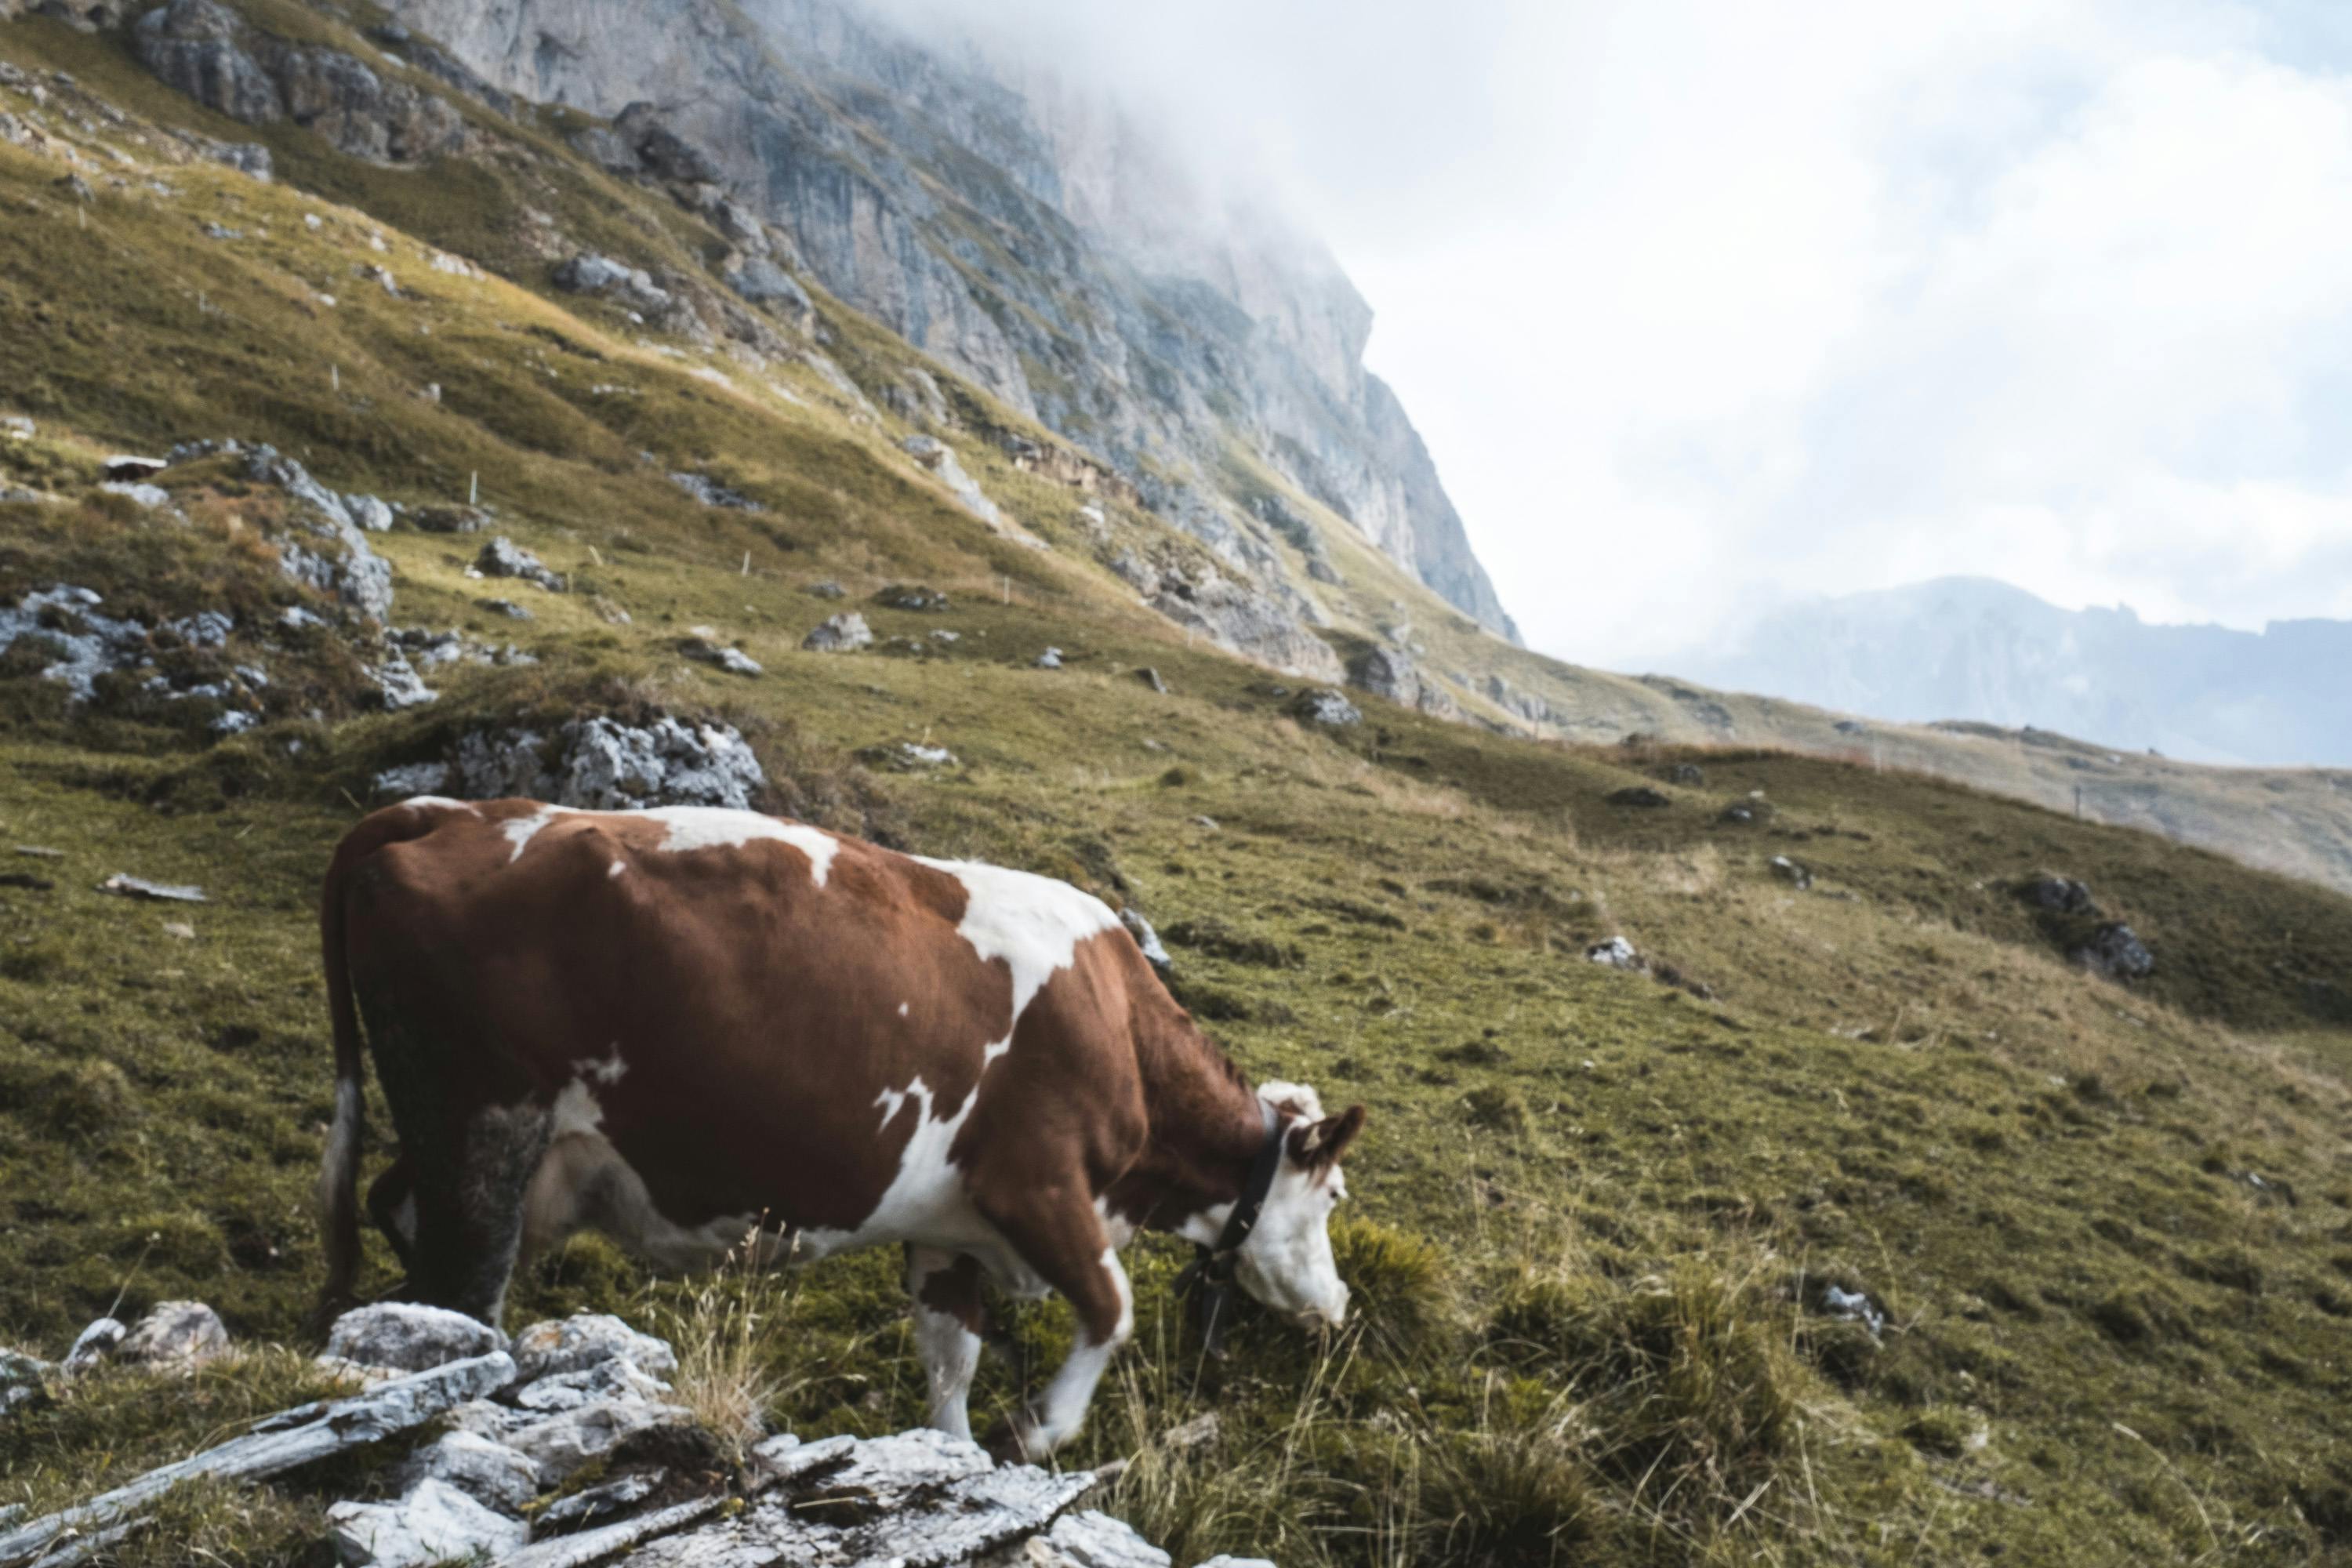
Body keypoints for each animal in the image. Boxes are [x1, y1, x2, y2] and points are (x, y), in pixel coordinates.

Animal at [322, 804, 1374, 1457]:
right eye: (1331, 1196)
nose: (1339, 1302)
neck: (1123, 1031)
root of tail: (454, 810)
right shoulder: (1035, 1183)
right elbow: (1109, 1308)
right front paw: (1033, 1429)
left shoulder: (950, 1229)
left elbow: (952, 1355)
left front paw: (956, 1449)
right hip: (486, 1123)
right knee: (464, 1288)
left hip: (468, 1141)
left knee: (398, 1222)